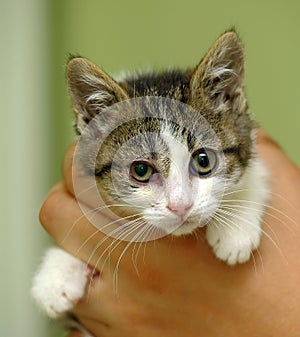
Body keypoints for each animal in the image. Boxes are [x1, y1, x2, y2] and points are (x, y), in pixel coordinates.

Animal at [31, 30, 268, 334]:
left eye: (203, 160)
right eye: (141, 170)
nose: (181, 206)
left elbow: (255, 175)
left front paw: (235, 230)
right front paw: (56, 273)